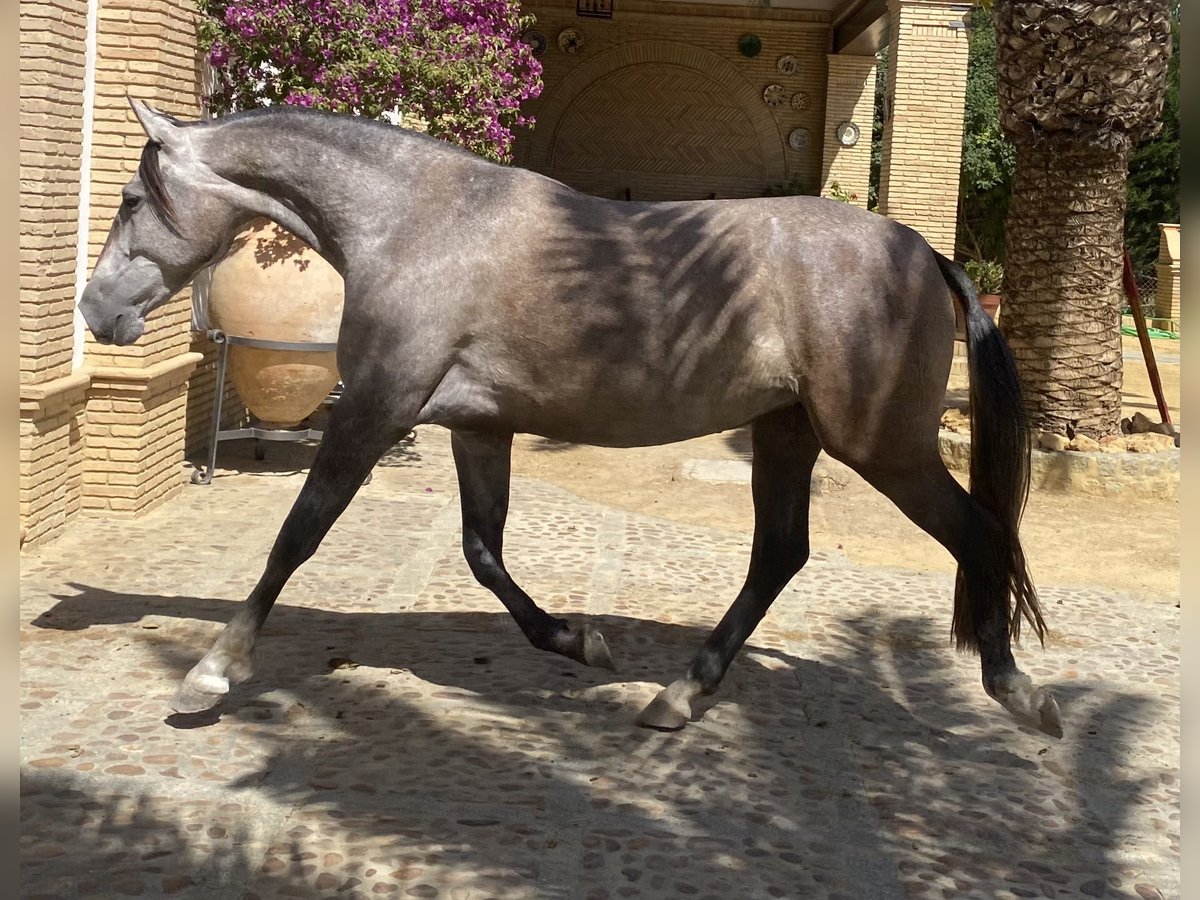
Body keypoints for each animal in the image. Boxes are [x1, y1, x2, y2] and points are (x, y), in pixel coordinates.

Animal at [77, 100, 1060, 739]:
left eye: (130, 200)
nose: (96, 312)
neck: (420, 222)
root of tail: (925, 255)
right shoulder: (477, 427)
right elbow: (482, 551)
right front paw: (578, 642)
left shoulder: (377, 410)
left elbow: (298, 535)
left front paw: (211, 671)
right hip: (788, 432)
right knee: (781, 554)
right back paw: (680, 695)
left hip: (881, 445)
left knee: (979, 533)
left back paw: (1018, 692)